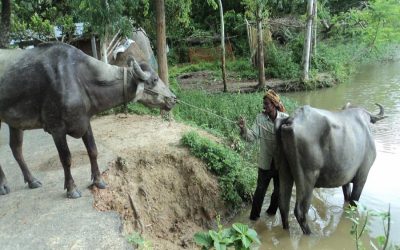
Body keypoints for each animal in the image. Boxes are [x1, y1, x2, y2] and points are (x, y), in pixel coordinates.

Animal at [0, 43, 176, 199]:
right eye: (154, 79)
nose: (173, 99)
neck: (79, 79)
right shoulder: (56, 129)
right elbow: (66, 158)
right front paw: (71, 188)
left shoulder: (85, 122)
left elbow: (93, 150)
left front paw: (98, 181)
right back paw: (4, 186)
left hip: (15, 123)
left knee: (16, 149)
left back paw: (32, 180)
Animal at [276, 103, 384, 234]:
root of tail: (291, 120)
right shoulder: (362, 176)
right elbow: (354, 202)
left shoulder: (345, 179)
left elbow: (347, 198)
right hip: (307, 177)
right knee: (300, 211)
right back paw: (310, 234)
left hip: (284, 170)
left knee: (283, 205)